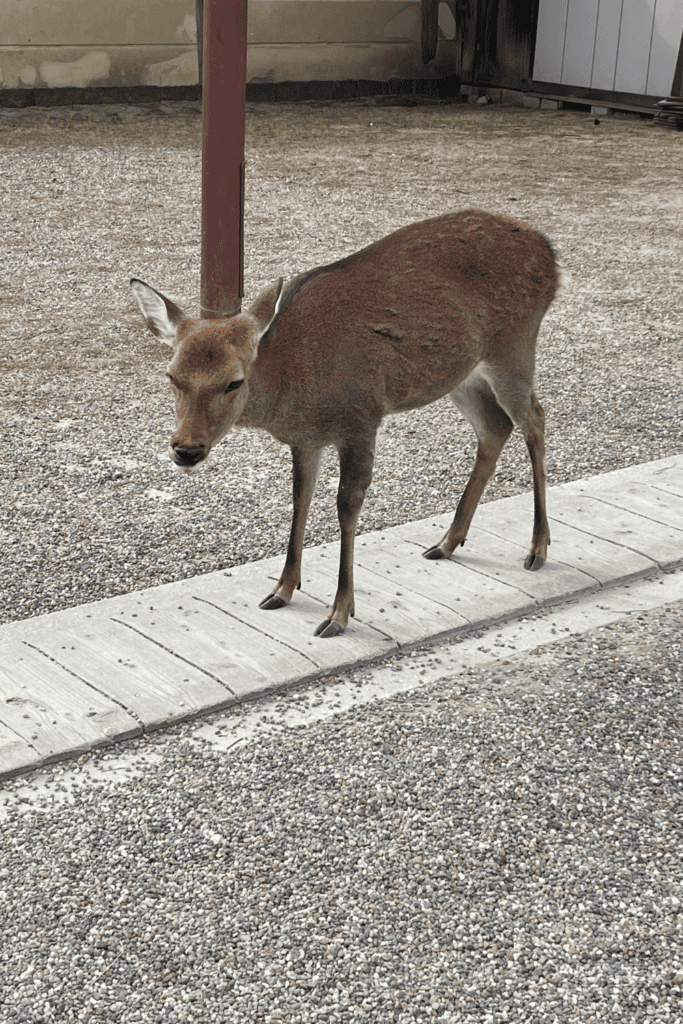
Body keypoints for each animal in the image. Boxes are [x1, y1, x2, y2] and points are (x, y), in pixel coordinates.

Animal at [131, 208, 557, 634]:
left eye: (234, 381)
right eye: (172, 376)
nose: (186, 449)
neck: (292, 386)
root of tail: (549, 252)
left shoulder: (361, 419)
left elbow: (346, 507)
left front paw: (339, 612)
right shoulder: (306, 438)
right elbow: (300, 497)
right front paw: (281, 590)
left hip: (514, 347)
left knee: (534, 419)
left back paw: (537, 548)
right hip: (462, 374)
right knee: (496, 426)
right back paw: (447, 542)